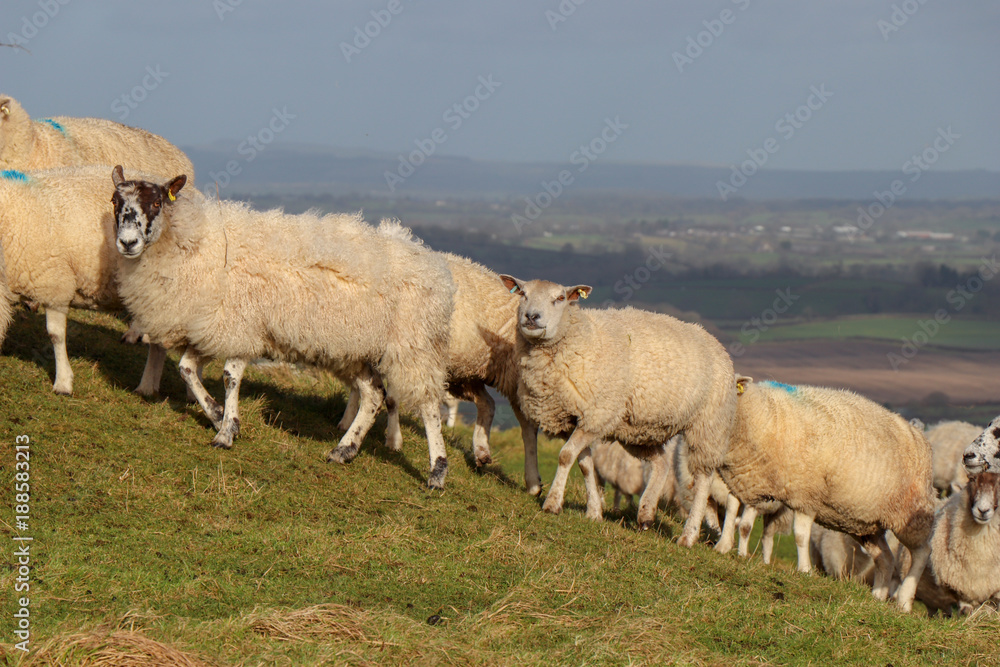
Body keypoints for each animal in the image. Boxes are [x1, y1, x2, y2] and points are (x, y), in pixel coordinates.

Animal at [110, 167, 458, 488]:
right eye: (114, 201)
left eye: (156, 202)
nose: (127, 243)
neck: (194, 243)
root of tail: (433, 265)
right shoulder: (214, 328)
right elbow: (186, 369)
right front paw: (218, 415)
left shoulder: (241, 325)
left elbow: (229, 377)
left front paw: (226, 432)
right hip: (353, 350)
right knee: (373, 394)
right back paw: (345, 449)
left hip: (414, 345)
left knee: (428, 405)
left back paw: (437, 471)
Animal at [500, 275, 737, 548]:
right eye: (522, 293)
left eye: (559, 298)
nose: (531, 316)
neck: (581, 338)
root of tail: (715, 342)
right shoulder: (576, 419)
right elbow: (585, 464)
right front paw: (594, 512)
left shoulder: (598, 414)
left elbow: (566, 456)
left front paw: (552, 503)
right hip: (639, 430)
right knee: (662, 462)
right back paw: (646, 513)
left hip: (709, 424)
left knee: (703, 482)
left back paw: (688, 535)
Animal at [719, 376, 937, 611]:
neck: (767, 415)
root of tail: (919, 437)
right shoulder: (744, 476)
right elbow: (732, 510)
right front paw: (722, 547)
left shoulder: (806, 496)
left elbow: (800, 535)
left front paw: (804, 570)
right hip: (866, 526)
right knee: (885, 558)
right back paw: (877, 597)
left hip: (911, 513)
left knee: (922, 553)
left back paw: (904, 601)